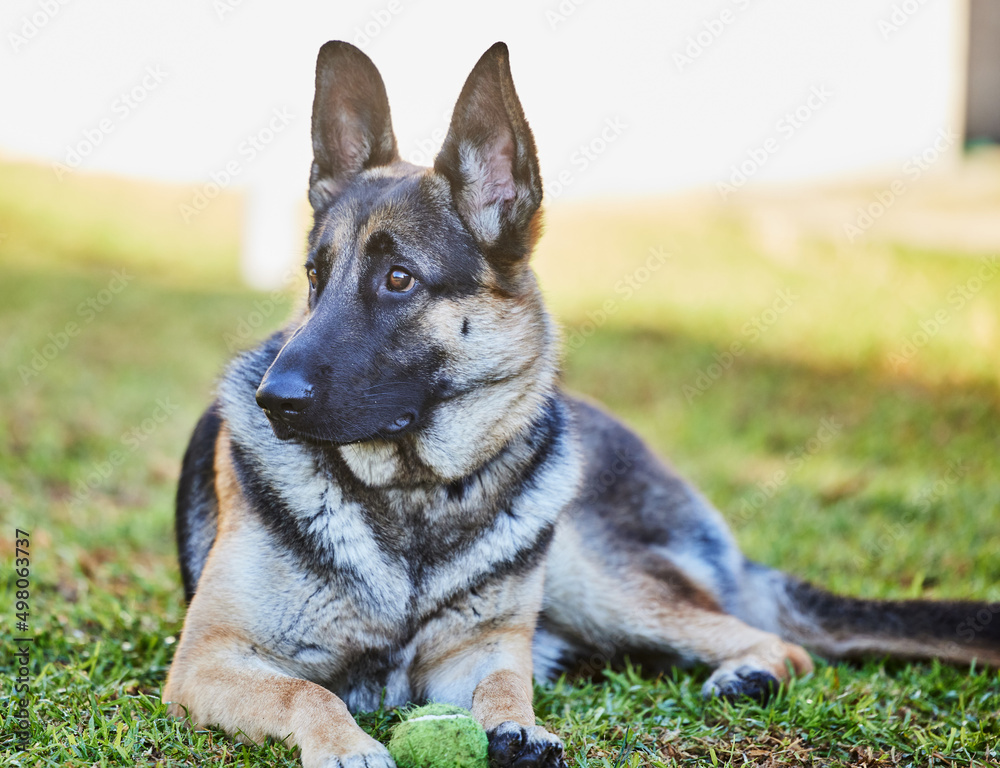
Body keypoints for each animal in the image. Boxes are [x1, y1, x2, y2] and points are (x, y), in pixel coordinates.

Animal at [162, 41, 1000, 768]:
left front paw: (518, 726)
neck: (414, 498)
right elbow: (309, 693)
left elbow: (506, 681)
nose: (273, 399)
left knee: (778, 643)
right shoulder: (207, 659)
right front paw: (349, 747)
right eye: (314, 276)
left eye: (399, 279)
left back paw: (748, 671)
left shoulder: (477, 653)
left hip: (591, 575)